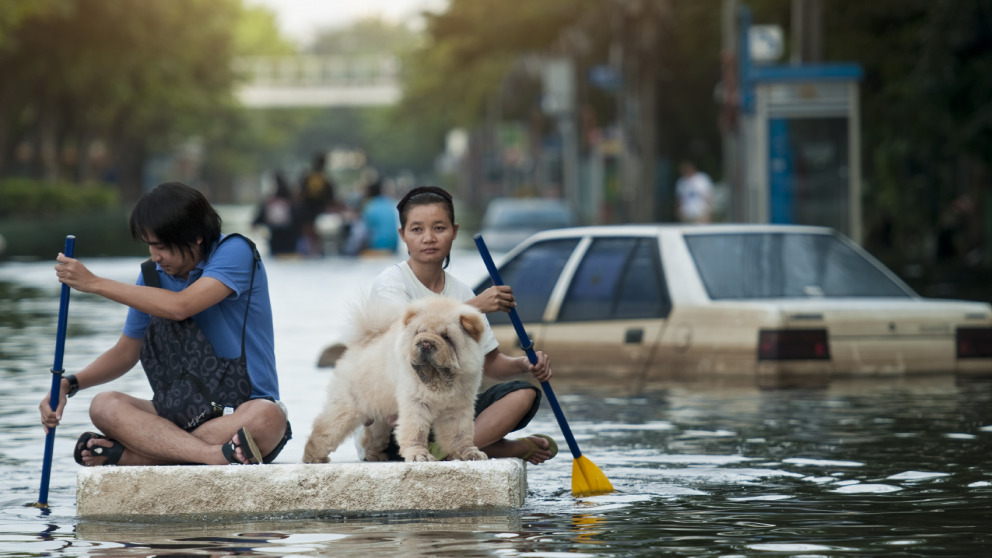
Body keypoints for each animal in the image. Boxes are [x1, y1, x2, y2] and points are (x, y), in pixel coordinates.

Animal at [302, 298, 488, 464]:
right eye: (418, 332)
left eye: (446, 337)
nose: (425, 343)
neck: (438, 379)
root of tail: (361, 343)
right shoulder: (415, 402)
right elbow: (416, 430)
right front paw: (419, 456)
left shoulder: (457, 407)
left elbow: (460, 433)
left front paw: (469, 453)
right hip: (346, 409)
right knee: (323, 430)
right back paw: (313, 457)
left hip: (379, 415)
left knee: (371, 437)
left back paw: (375, 455)